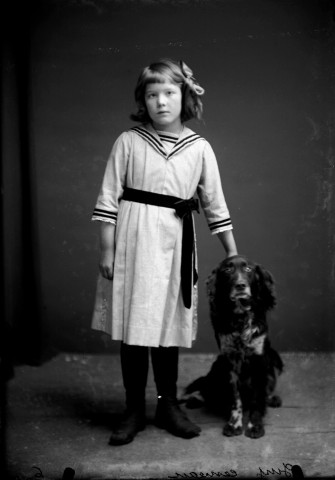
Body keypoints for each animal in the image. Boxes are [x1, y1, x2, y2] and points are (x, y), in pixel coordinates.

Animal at [181, 255, 284, 438]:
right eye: (227, 270)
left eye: (248, 269)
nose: (240, 285)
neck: (240, 318)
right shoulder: (229, 361)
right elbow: (236, 400)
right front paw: (234, 424)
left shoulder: (259, 360)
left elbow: (257, 399)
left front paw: (255, 425)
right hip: (217, 365)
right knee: (208, 388)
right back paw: (196, 399)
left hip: (271, 359)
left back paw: (272, 398)